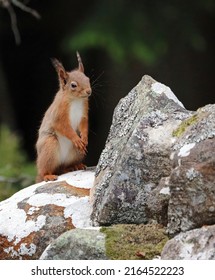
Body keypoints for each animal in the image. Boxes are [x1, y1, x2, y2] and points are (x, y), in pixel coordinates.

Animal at [35, 52, 91, 183]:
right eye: (73, 85)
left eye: (88, 79)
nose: (89, 91)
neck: (75, 100)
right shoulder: (58, 114)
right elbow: (63, 127)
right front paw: (76, 139)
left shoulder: (84, 112)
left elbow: (84, 124)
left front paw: (84, 138)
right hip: (49, 146)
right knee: (46, 169)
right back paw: (48, 175)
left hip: (76, 153)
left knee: (64, 168)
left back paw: (76, 166)